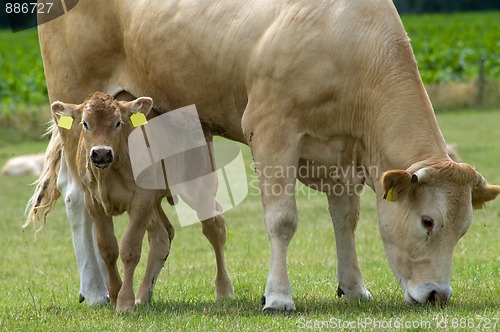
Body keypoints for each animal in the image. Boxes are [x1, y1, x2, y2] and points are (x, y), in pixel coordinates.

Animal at [28, 0, 500, 312]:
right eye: (427, 221)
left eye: (464, 230)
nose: (437, 295)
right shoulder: (274, 132)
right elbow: (282, 220)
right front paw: (277, 295)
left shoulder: (340, 151)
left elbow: (345, 218)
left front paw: (353, 287)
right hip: (72, 107)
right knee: (76, 197)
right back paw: (94, 290)